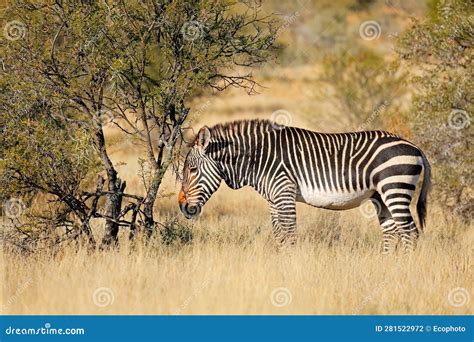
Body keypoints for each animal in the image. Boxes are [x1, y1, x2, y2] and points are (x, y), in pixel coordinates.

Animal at [178, 119, 430, 252]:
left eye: (192, 170)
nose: (182, 207)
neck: (260, 158)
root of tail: (415, 147)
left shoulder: (284, 193)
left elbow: (289, 234)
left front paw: (290, 268)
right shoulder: (273, 200)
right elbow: (279, 235)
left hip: (395, 188)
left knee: (410, 231)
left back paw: (404, 268)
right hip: (381, 196)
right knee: (392, 231)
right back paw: (388, 265)